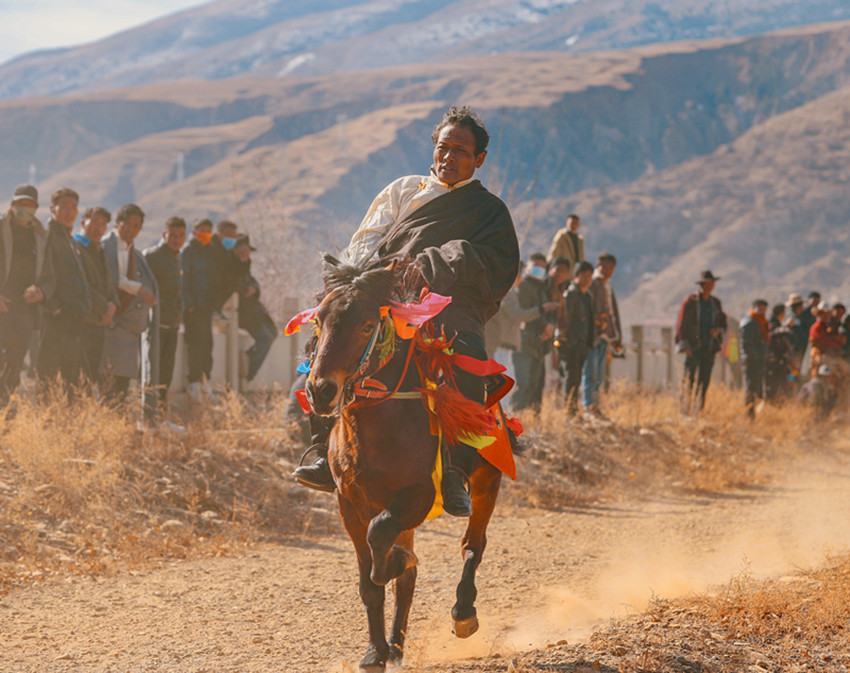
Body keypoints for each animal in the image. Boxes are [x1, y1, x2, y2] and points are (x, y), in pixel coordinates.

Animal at [298, 256, 507, 672]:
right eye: (318, 323)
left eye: (366, 325)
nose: (319, 390)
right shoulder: (351, 505)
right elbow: (371, 582)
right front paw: (375, 651)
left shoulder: (418, 496)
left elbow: (382, 544)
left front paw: (396, 563)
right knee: (408, 580)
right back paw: (395, 643)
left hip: (486, 481)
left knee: (472, 545)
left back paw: (463, 612)